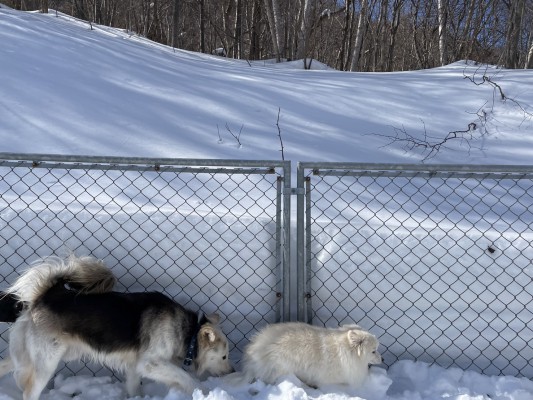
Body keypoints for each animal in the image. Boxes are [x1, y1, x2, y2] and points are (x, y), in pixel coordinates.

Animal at [0, 255, 233, 398]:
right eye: (224, 356)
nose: (232, 371)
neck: (189, 332)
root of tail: (47, 295)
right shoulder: (150, 364)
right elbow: (185, 377)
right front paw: (202, 392)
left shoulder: (134, 367)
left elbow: (134, 388)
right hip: (46, 362)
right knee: (29, 392)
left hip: (31, 356)